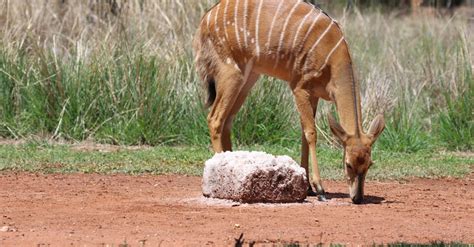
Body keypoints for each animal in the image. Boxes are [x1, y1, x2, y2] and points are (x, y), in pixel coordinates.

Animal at [193, 0, 386, 204]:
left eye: (369, 164)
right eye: (348, 164)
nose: (357, 198)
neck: (332, 58)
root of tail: (204, 21)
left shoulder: (314, 94)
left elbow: (303, 134)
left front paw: (308, 188)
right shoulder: (299, 87)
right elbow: (311, 133)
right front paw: (319, 189)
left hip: (249, 77)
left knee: (228, 119)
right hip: (231, 72)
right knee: (215, 118)